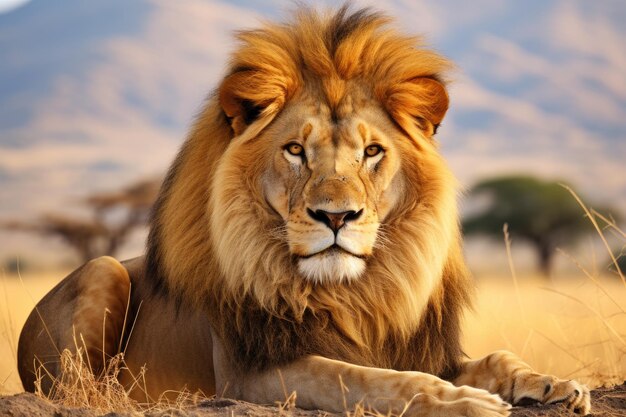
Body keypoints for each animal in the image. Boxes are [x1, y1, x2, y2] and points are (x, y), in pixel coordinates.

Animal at [17, 7, 588, 416]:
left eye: (372, 151)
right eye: (295, 150)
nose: (336, 217)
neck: (350, 295)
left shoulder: (423, 350)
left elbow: (494, 357)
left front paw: (551, 383)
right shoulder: (249, 373)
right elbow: (359, 377)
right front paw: (462, 402)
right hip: (103, 270)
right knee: (78, 391)